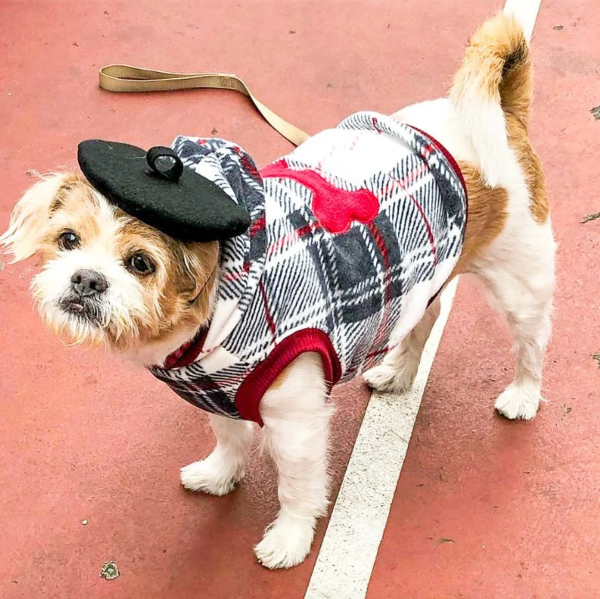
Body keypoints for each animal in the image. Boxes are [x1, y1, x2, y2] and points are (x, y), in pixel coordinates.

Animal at [0, 11, 552, 568]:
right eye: (68, 240)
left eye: (141, 263)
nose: (86, 278)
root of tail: (501, 115)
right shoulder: (218, 394)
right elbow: (228, 436)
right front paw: (221, 475)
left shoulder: (297, 423)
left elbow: (296, 486)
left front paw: (289, 539)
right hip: (425, 280)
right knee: (425, 320)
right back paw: (397, 373)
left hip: (522, 283)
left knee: (530, 343)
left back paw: (522, 397)